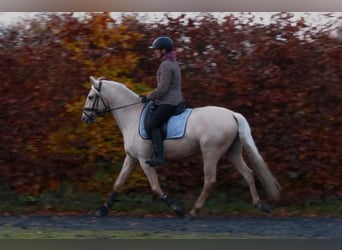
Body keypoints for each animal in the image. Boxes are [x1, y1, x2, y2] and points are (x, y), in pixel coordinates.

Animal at [81, 76, 280, 219]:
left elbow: (155, 187)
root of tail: (232, 114)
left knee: (210, 180)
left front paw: (178, 209)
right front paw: (102, 210)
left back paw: (193, 212)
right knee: (248, 174)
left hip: (211, 153)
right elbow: (119, 182)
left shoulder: (145, 160)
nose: (85, 118)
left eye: (91, 97)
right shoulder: (132, 158)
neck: (131, 115)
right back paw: (260, 205)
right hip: (232, 152)